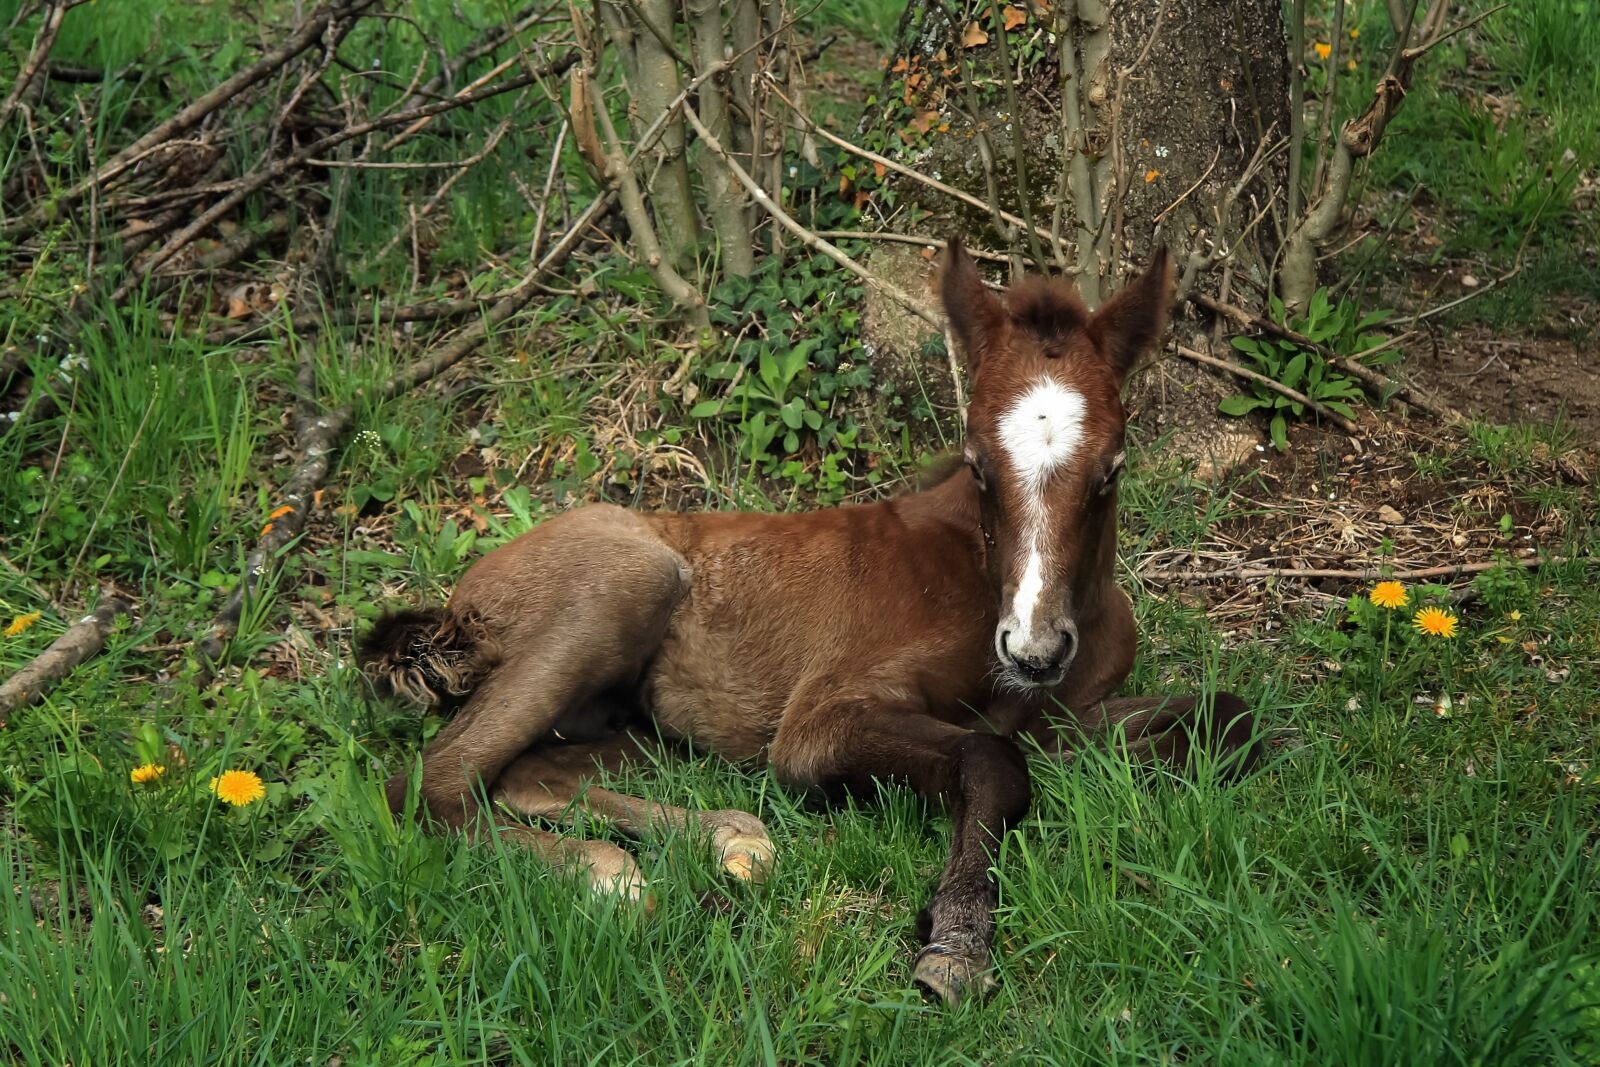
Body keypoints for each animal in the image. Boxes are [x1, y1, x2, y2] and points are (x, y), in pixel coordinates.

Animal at [360, 237, 1261, 1006]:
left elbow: (1224, 718)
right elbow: (991, 756)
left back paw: (726, 839)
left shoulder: (1068, 710)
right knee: (429, 783)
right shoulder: (819, 720)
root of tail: (458, 600)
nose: (1033, 651)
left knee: (528, 773)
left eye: (1112, 468)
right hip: (629, 583)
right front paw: (958, 940)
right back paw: (609, 875)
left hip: (629, 724)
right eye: (977, 462)